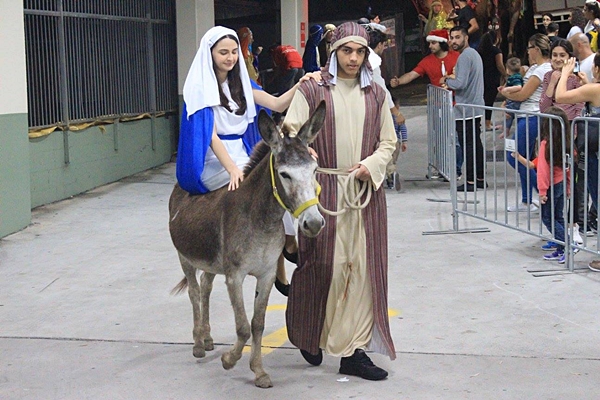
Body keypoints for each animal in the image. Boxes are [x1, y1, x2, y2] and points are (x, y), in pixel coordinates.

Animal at [168, 102, 326, 388]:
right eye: (285, 174)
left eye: (314, 170)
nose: (313, 223)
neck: (261, 218)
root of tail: (180, 186)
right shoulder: (235, 277)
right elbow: (242, 326)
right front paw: (229, 360)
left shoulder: (266, 274)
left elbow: (257, 324)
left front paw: (259, 371)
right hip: (185, 257)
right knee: (195, 292)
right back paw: (198, 344)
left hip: (212, 262)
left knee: (206, 286)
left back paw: (208, 338)